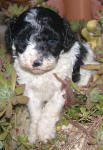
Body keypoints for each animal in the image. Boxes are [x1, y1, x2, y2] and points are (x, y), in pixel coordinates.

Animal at [5, 7, 96, 144]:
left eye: (51, 41)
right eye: (24, 40)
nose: (36, 62)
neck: (42, 74)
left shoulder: (62, 87)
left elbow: (50, 108)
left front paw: (45, 133)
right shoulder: (30, 90)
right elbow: (35, 111)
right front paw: (33, 133)